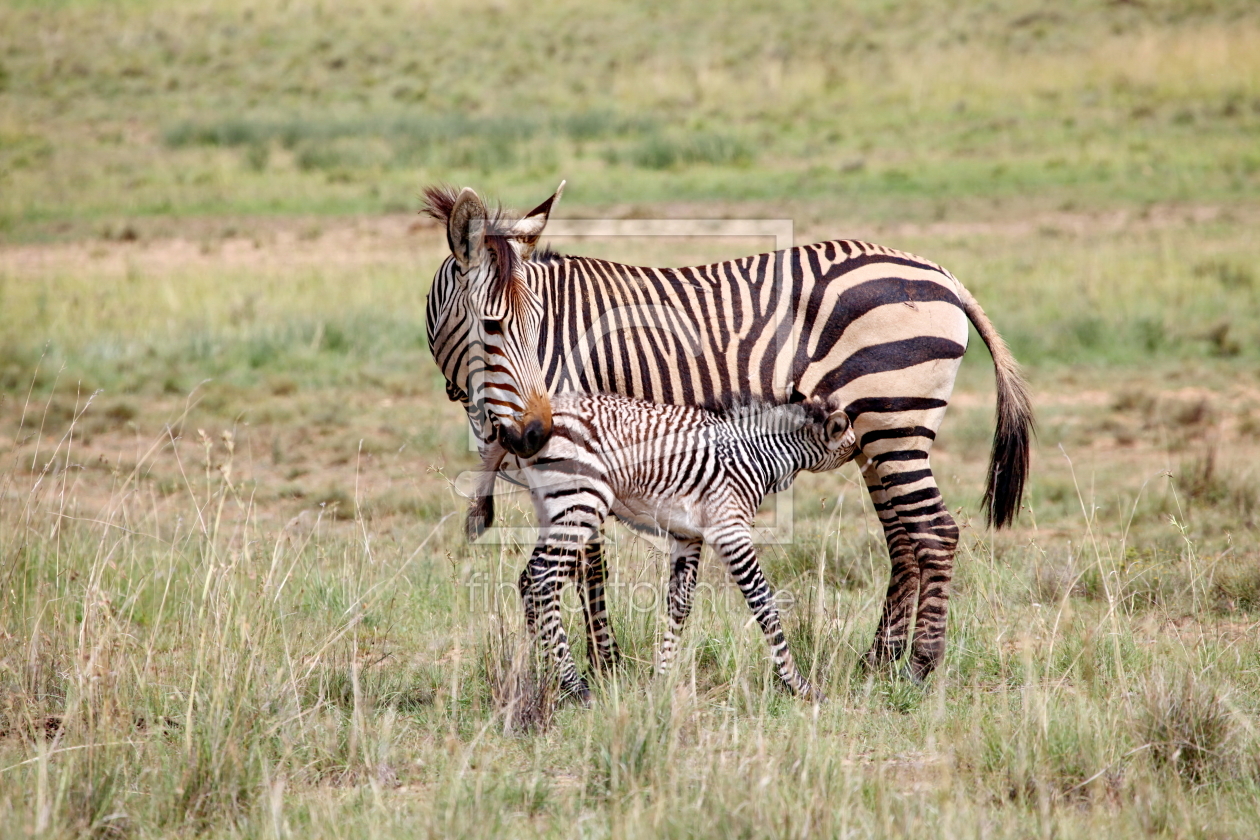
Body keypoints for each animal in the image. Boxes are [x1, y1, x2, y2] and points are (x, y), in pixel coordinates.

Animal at [471, 392, 856, 705]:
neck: (755, 454)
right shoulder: (729, 529)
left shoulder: (687, 535)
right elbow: (763, 603)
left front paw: (662, 679)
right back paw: (575, 688)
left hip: (554, 509)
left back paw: (549, 675)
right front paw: (799, 686)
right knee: (541, 580)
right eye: (852, 447)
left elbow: (680, 605)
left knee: (529, 582)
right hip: (579, 503)